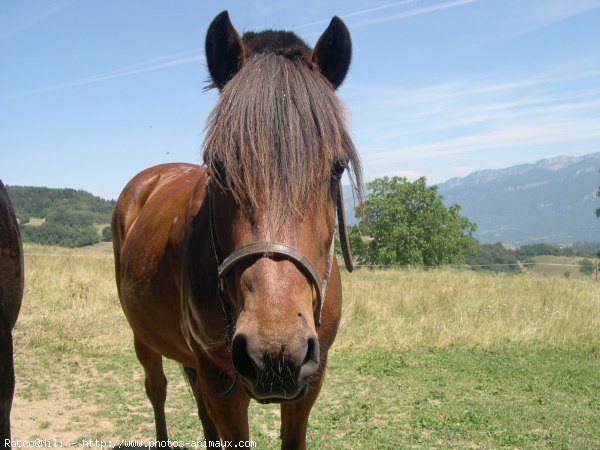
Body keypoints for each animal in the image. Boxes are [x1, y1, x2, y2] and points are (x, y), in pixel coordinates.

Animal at [112, 11, 360, 450]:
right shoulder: (221, 380)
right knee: (156, 388)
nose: (275, 352)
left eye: (336, 169)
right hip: (144, 338)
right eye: (220, 167)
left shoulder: (310, 380)